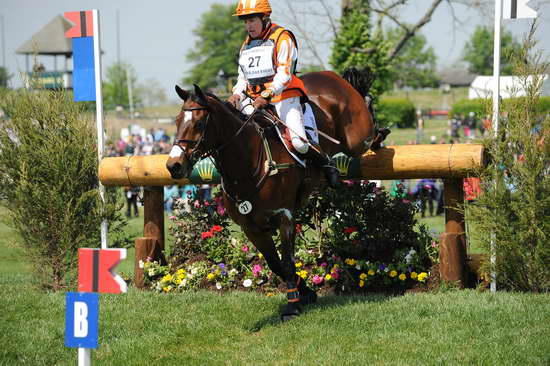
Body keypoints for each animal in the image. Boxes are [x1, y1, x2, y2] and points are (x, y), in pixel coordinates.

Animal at [168, 70, 388, 318]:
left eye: (198, 123)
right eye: (177, 121)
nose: (173, 166)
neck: (250, 162)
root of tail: (329, 74)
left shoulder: (285, 217)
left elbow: (287, 264)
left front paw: (293, 305)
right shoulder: (251, 228)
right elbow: (274, 264)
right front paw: (306, 292)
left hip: (357, 139)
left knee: (365, 130)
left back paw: (377, 127)